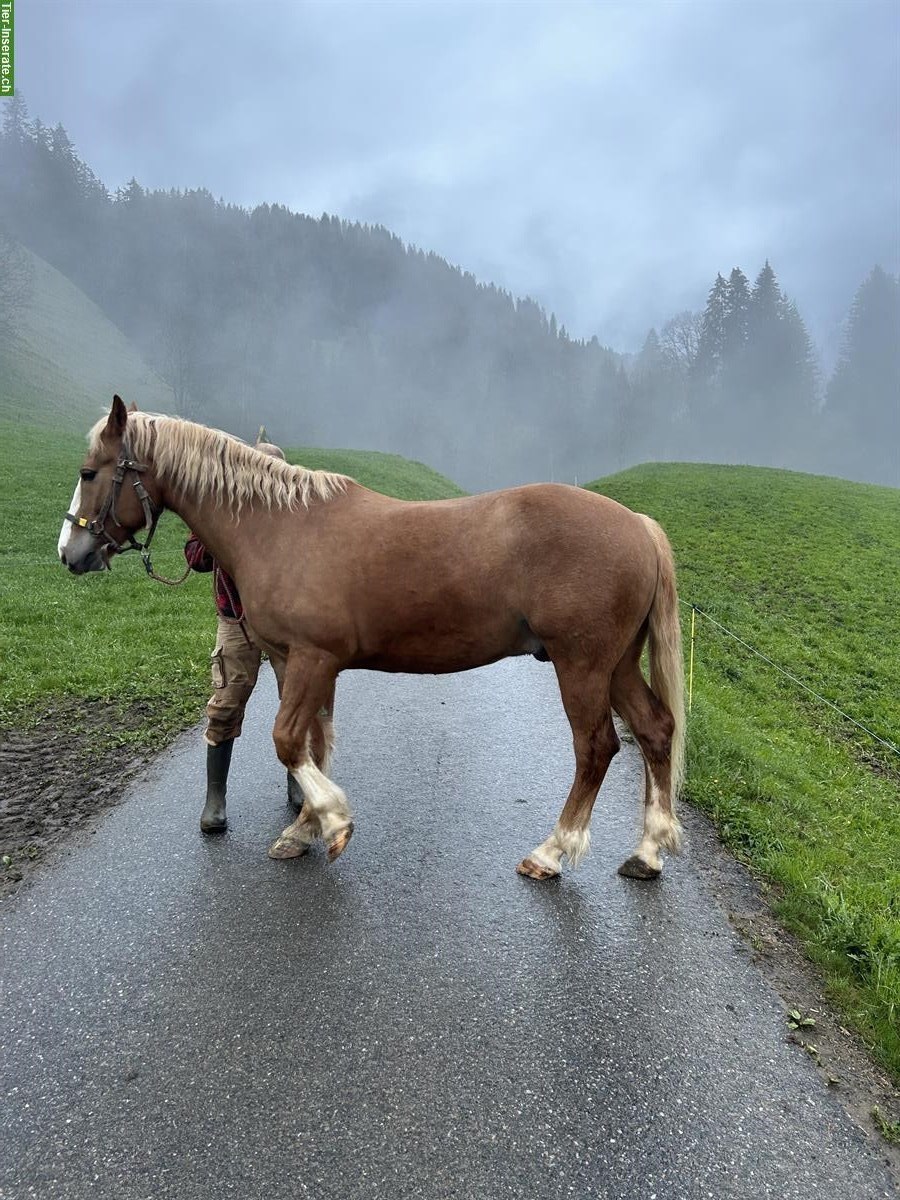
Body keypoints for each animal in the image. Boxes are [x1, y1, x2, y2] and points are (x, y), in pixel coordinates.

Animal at [60, 398, 686, 878]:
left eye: (90, 472)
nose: (71, 553)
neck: (279, 527)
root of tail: (638, 524)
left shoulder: (312, 660)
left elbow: (287, 740)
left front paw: (334, 821)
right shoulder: (292, 662)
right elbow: (311, 743)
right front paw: (303, 829)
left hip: (581, 665)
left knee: (596, 748)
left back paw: (552, 852)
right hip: (617, 665)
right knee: (655, 731)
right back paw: (647, 853)